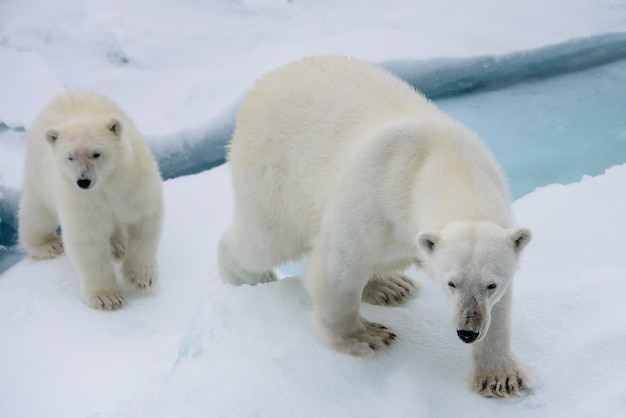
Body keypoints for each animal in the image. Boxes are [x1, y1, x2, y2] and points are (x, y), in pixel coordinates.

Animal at [20, 89, 163, 310]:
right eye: (70, 157)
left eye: (96, 153)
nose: (83, 181)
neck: (106, 184)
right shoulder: (79, 198)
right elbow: (88, 238)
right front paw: (108, 298)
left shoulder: (133, 181)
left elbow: (144, 220)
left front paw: (141, 279)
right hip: (38, 175)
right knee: (37, 214)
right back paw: (49, 245)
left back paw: (117, 245)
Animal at [218, 56, 532, 398]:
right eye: (451, 283)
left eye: (491, 285)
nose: (467, 332)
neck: (444, 160)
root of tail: (266, 80)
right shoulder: (377, 194)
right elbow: (338, 266)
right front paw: (366, 337)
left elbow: (499, 311)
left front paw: (500, 376)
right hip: (272, 173)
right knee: (263, 241)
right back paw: (247, 277)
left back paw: (390, 286)